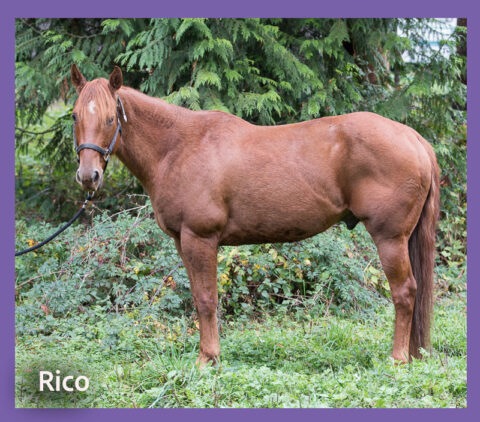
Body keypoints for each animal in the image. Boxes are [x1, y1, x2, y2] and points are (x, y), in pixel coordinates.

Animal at [71, 64, 440, 366]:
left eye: (110, 118)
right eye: (75, 116)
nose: (88, 176)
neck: (178, 147)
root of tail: (413, 138)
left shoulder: (200, 238)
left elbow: (206, 299)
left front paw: (208, 360)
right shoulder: (183, 242)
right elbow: (200, 298)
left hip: (390, 238)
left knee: (405, 292)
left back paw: (397, 359)